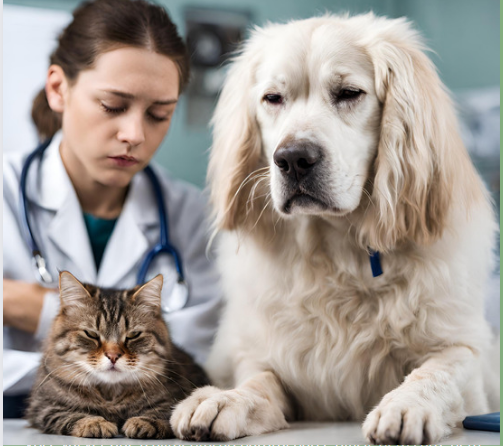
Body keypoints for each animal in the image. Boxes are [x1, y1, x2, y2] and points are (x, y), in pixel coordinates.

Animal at [27, 270, 209, 438]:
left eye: (133, 335)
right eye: (91, 334)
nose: (113, 356)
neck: (110, 395)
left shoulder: (173, 397)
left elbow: (164, 413)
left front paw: (143, 422)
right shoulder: (44, 406)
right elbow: (72, 415)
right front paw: (95, 423)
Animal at [170, 12, 500, 444]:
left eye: (348, 93)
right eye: (272, 98)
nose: (293, 159)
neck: (336, 252)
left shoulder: (467, 355)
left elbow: (435, 372)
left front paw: (404, 406)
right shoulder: (269, 358)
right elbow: (258, 380)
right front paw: (224, 398)